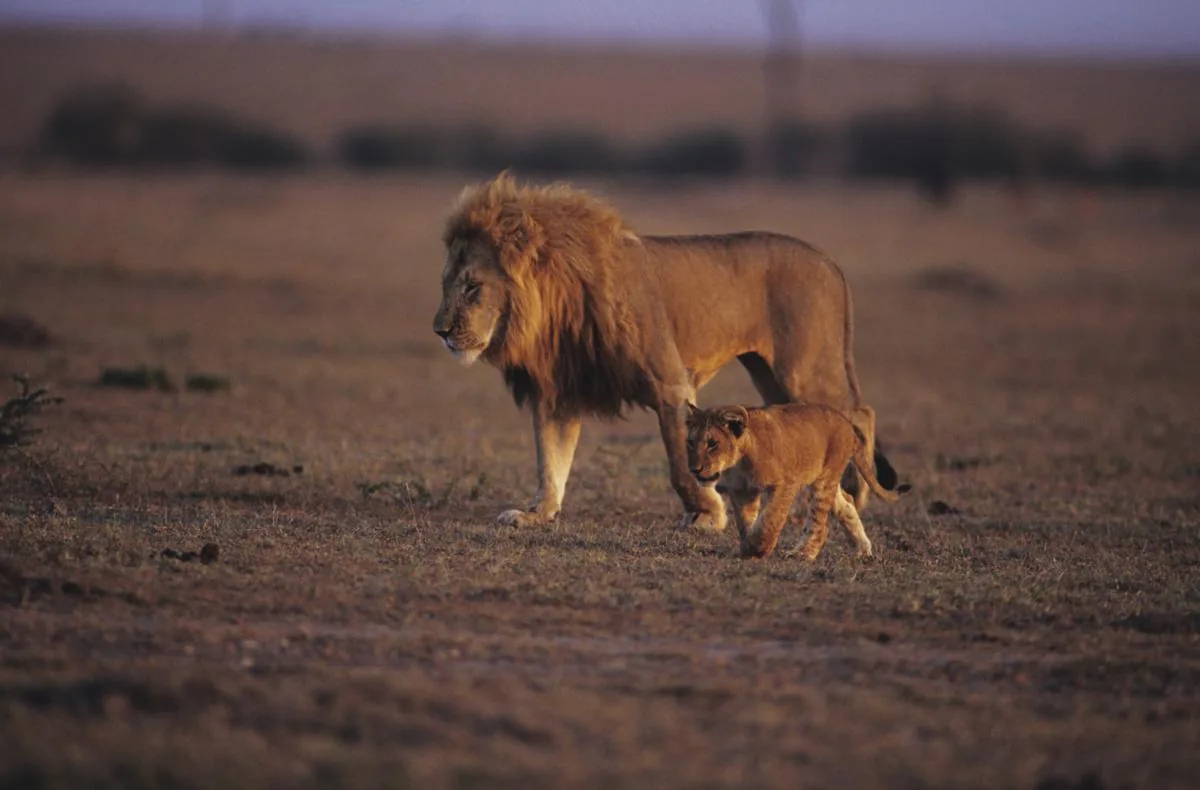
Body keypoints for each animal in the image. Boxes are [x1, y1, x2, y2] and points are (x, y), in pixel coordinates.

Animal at [433, 172, 898, 531]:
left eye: (472, 288)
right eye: (446, 285)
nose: (440, 331)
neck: (556, 306)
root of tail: (829, 261)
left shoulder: (669, 383)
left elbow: (679, 463)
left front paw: (707, 515)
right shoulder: (558, 393)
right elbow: (550, 461)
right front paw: (536, 514)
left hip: (803, 368)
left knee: (859, 414)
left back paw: (856, 491)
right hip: (769, 374)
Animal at [685, 402, 908, 560]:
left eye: (712, 444)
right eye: (690, 443)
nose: (694, 469)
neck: (738, 462)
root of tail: (846, 421)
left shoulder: (786, 483)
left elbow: (770, 519)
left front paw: (758, 549)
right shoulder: (742, 492)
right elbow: (747, 522)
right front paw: (748, 547)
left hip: (825, 479)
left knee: (820, 524)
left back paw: (803, 554)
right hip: (823, 479)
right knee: (846, 502)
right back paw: (862, 549)